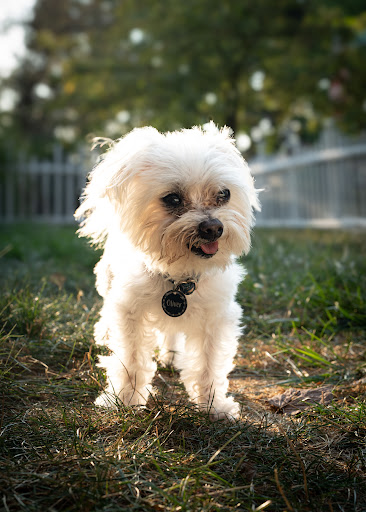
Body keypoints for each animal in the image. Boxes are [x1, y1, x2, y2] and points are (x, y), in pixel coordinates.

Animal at [74, 122, 258, 418]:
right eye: (172, 199)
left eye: (224, 194)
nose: (213, 228)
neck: (179, 276)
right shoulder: (130, 310)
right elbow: (131, 361)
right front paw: (123, 400)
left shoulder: (215, 317)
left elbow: (208, 365)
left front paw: (213, 406)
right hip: (106, 279)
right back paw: (104, 331)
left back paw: (172, 354)